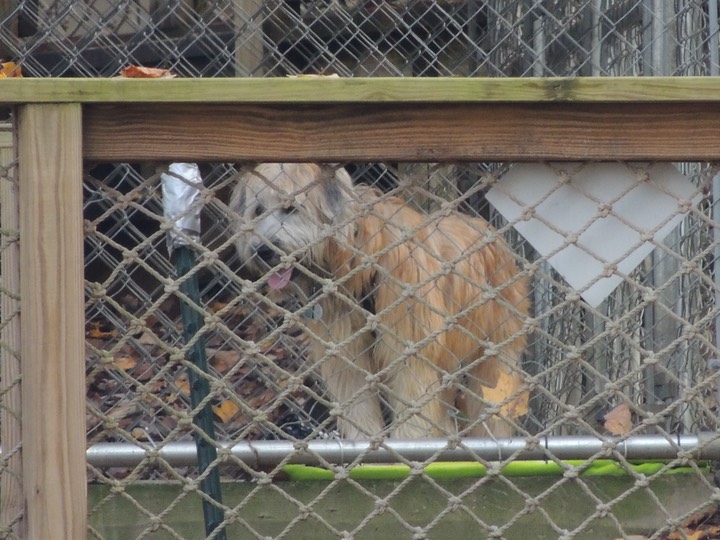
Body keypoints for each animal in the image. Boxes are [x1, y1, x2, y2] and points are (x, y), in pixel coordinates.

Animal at [231, 163, 528, 438]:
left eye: (290, 208)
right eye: (257, 210)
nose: (261, 250)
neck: (360, 260)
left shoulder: (411, 354)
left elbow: (413, 410)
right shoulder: (345, 353)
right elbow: (358, 406)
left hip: (496, 349)